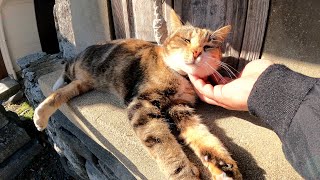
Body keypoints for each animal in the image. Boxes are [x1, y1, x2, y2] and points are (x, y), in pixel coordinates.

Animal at [33, 10, 242, 179]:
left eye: (208, 46)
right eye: (186, 40)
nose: (197, 52)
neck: (181, 77)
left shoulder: (180, 107)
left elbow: (202, 135)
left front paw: (223, 166)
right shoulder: (142, 105)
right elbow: (162, 142)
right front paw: (184, 173)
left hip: (84, 82)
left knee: (66, 91)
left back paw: (42, 115)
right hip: (79, 66)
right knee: (63, 74)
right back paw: (41, 113)